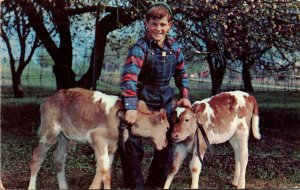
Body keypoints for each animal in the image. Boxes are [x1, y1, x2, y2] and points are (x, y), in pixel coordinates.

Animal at [27, 87, 169, 189]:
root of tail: (48, 99)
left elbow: (107, 171)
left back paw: (63, 187)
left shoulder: (113, 145)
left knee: (59, 158)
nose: (166, 144)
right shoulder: (97, 137)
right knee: (37, 157)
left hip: (65, 136)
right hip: (49, 131)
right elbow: (103, 167)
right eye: (167, 127)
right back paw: (32, 187)